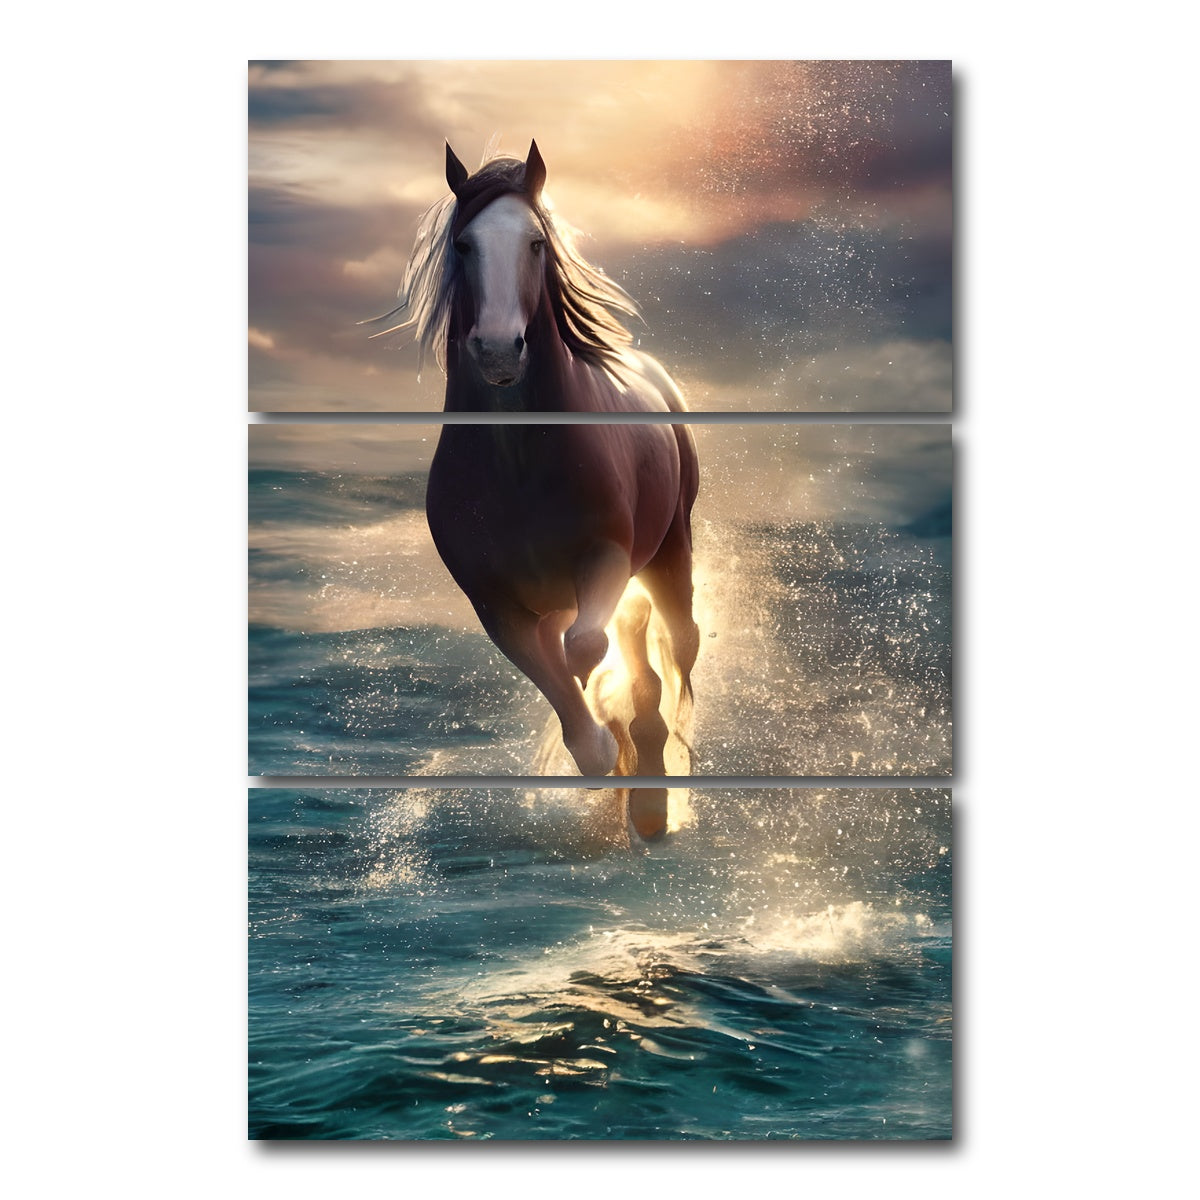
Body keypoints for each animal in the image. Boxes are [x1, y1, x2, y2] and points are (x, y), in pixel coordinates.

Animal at [373, 141, 699, 828]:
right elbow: (567, 695)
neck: (517, 462)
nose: (499, 351)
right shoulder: (495, 605)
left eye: (535, 244)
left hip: (669, 549)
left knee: (673, 642)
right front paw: (609, 751)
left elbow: (587, 651)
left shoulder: (606, 557)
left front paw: (634, 755)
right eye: (464, 245)